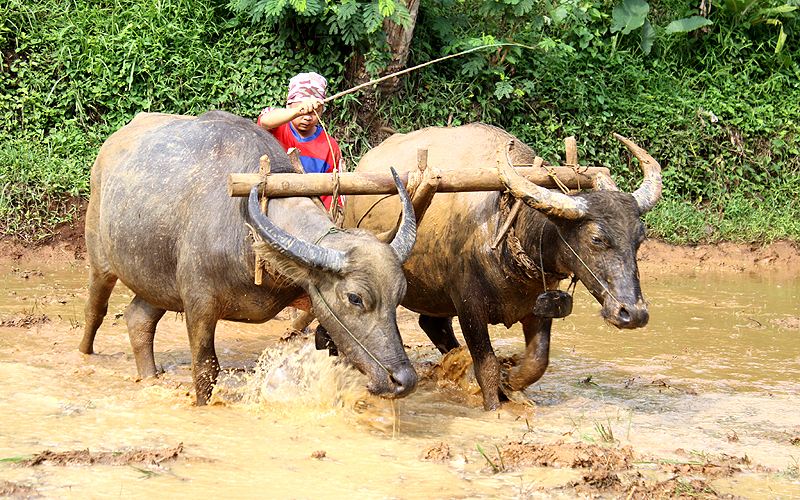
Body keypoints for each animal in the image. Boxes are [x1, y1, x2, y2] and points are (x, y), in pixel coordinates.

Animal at [79, 110, 418, 406]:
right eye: (355, 298)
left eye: (400, 295)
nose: (404, 380)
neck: (249, 229)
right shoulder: (199, 303)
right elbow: (205, 369)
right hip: (100, 261)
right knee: (96, 310)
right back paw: (85, 354)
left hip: (158, 281)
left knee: (139, 318)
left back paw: (149, 376)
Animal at [344, 122, 664, 410]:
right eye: (597, 239)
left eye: (639, 238)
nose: (633, 313)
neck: (504, 224)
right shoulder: (469, 307)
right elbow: (486, 366)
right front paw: (493, 405)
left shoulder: (538, 306)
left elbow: (537, 360)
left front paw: (511, 384)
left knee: (434, 325)